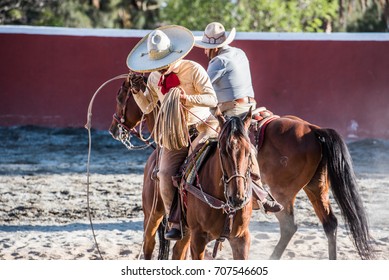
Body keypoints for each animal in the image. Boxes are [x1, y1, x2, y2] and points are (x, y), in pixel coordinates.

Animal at [109, 82, 372, 260]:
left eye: (121, 96)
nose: (114, 128)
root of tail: (313, 129)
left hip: (282, 193)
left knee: (290, 226)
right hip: (317, 187)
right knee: (330, 224)